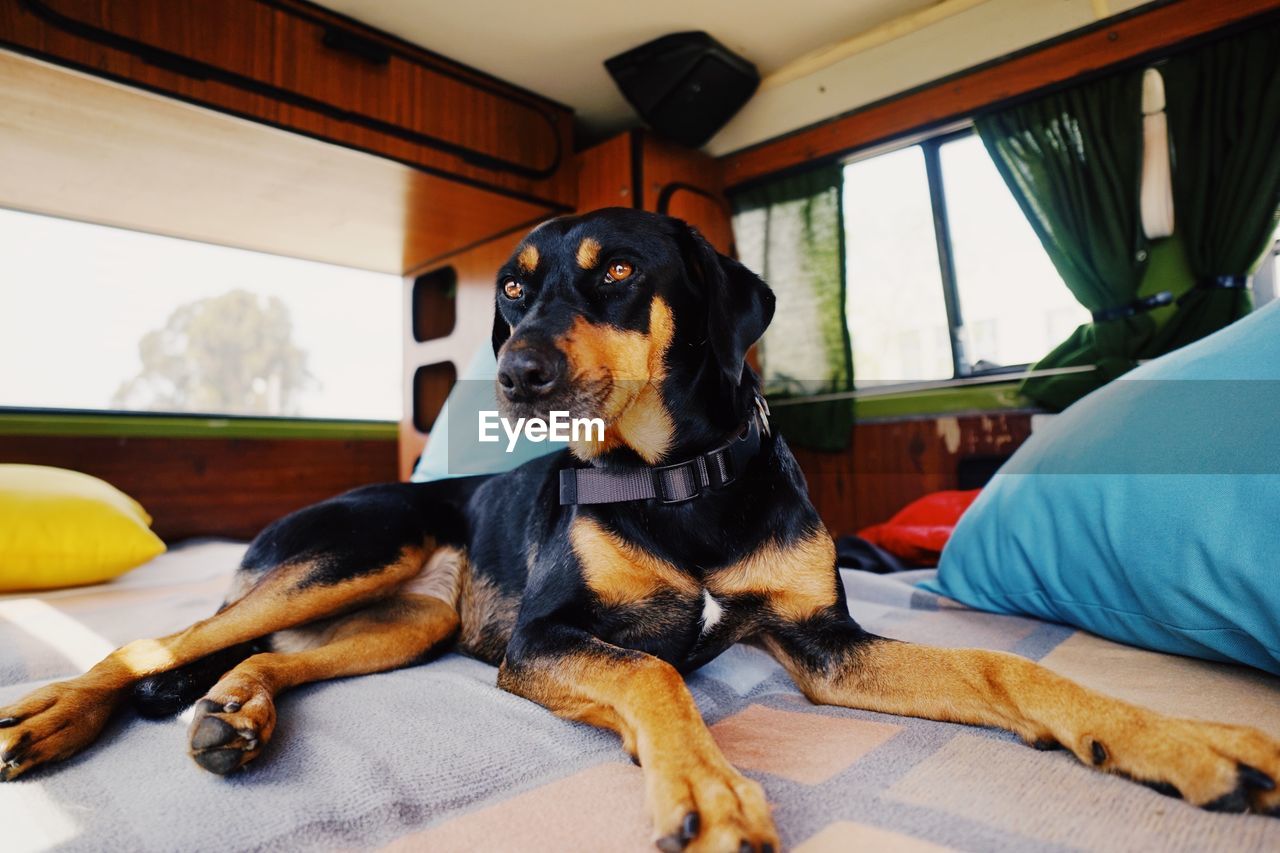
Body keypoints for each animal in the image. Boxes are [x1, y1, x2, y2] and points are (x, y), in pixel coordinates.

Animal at [2, 207, 1280, 850]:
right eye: (511, 289)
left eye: (615, 271)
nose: (517, 376)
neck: (679, 480)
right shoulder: (547, 639)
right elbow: (657, 676)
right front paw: (706, 794)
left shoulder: (822, 642)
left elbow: (1006, 667)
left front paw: (1188, 742)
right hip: (353, 549)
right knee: (159, 643)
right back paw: (50, 716)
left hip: (407, 618)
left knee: (258, 653)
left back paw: (236, 713)